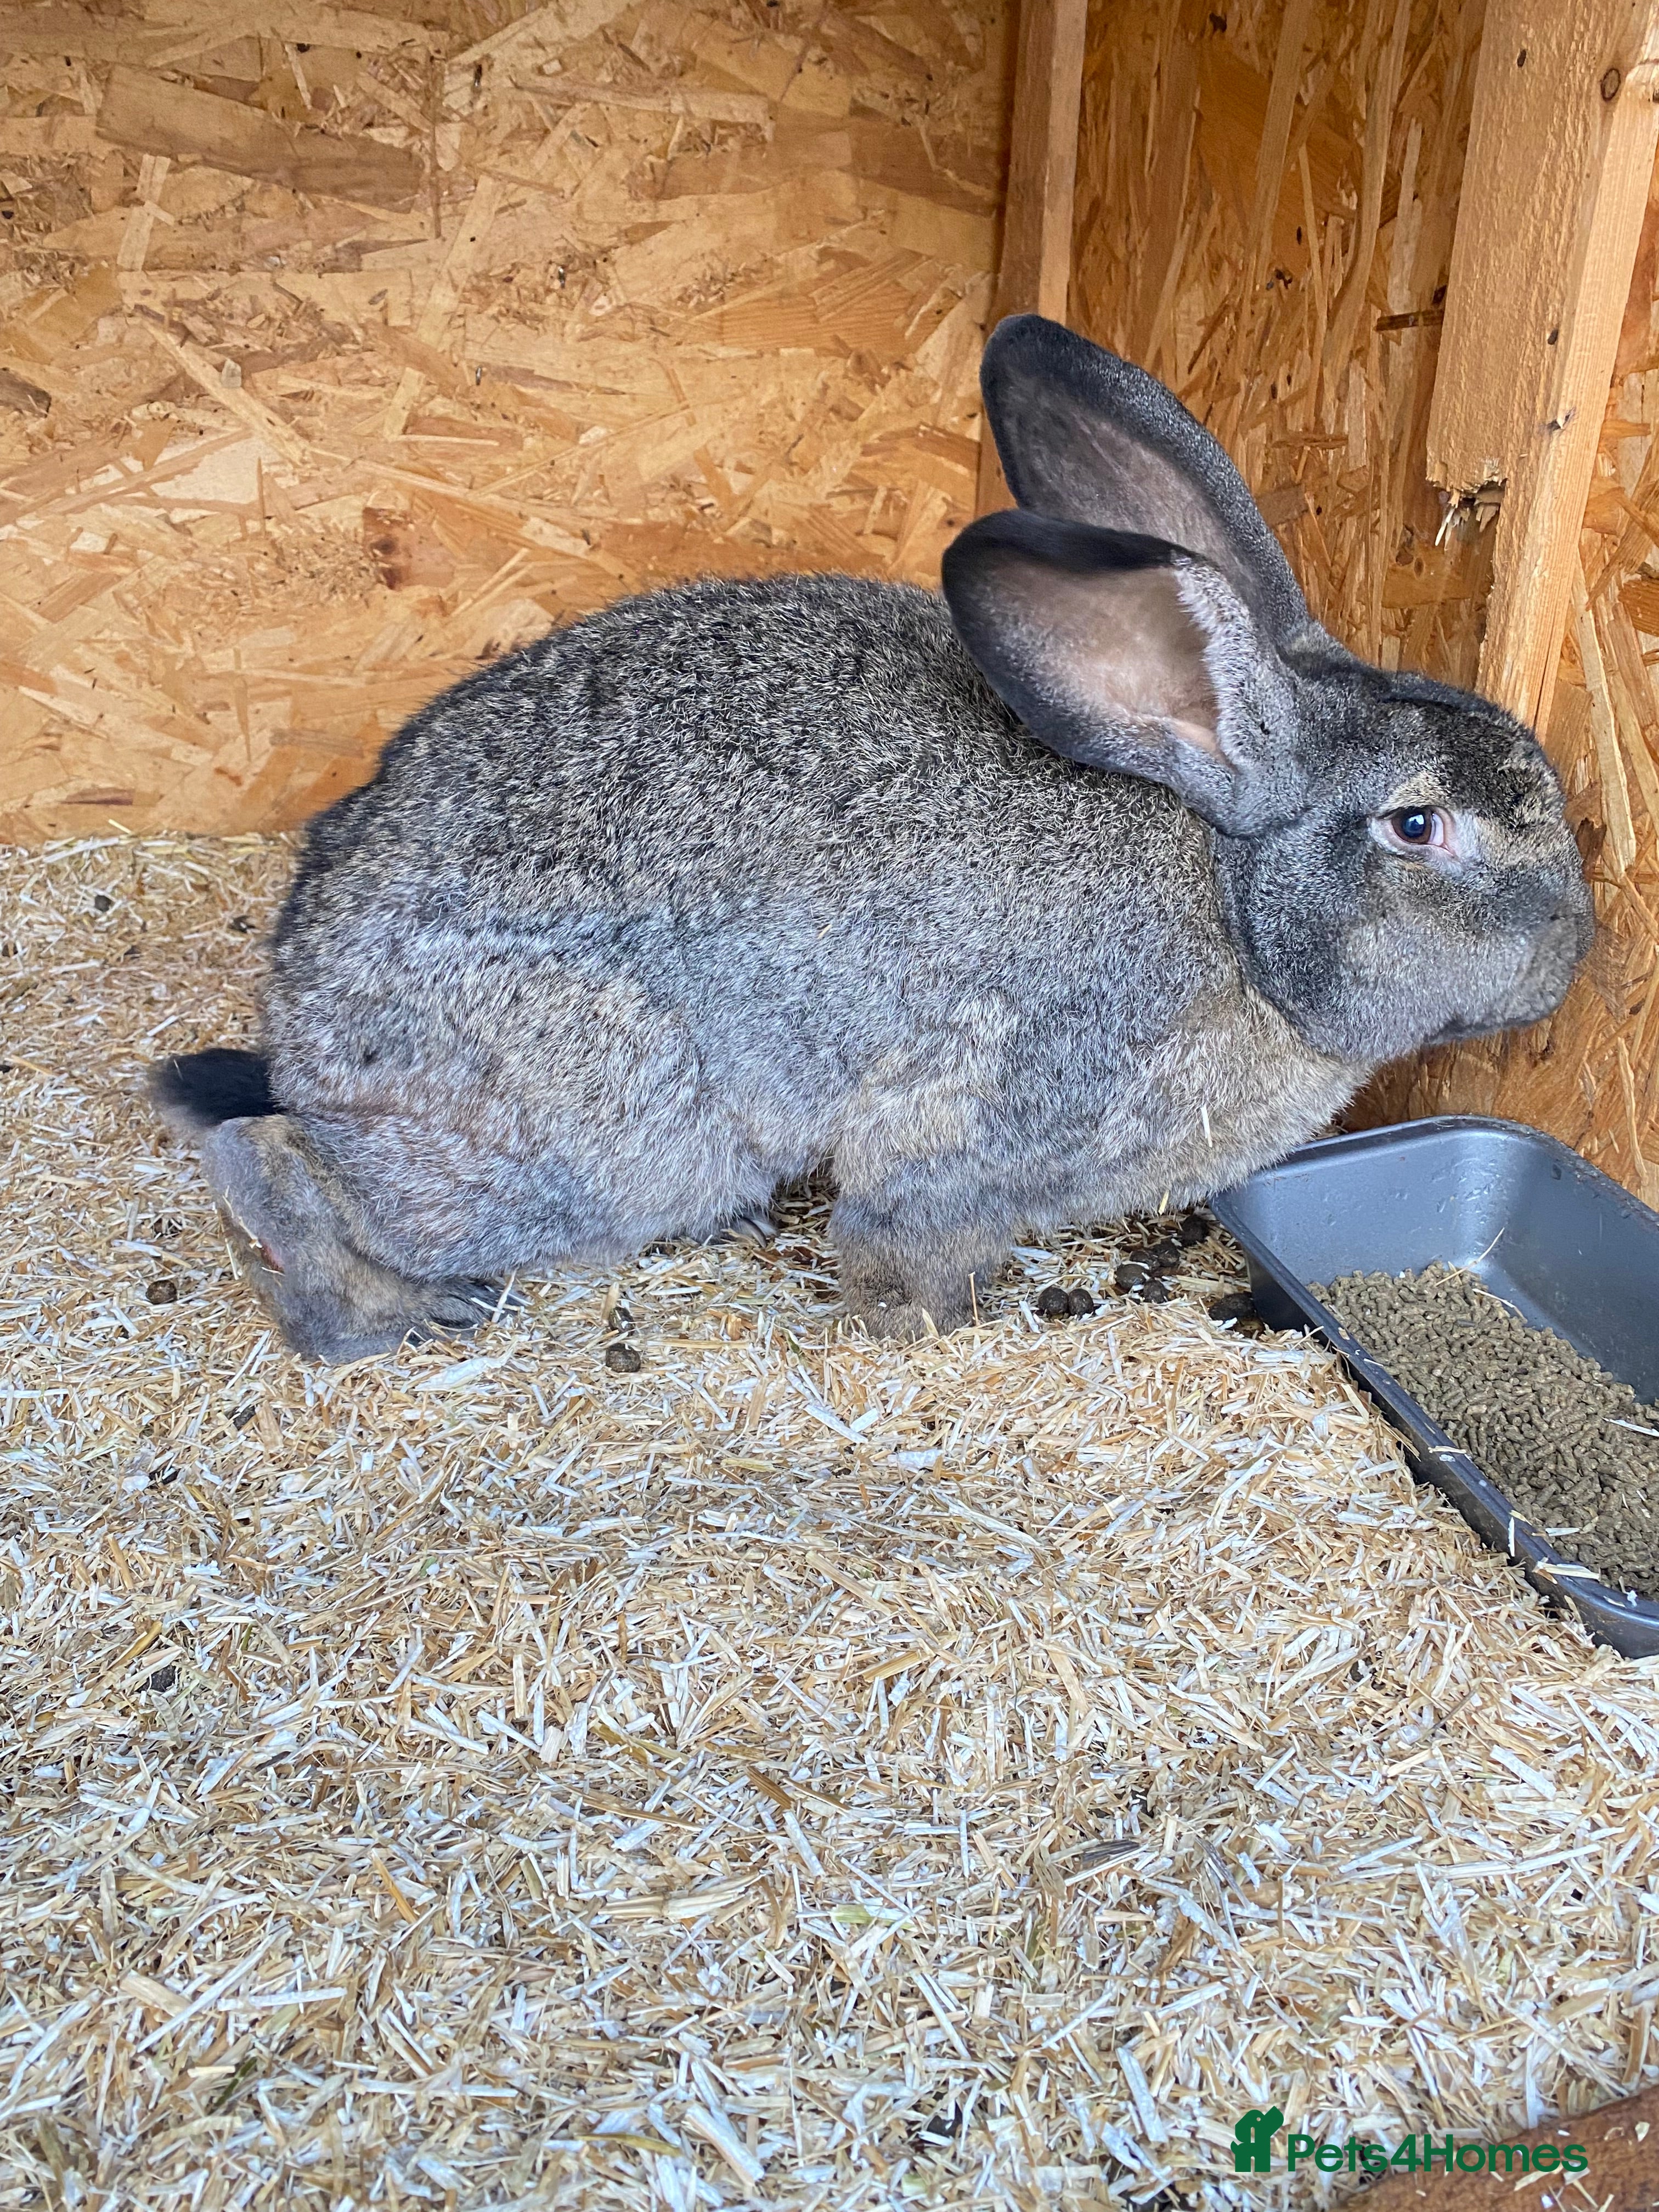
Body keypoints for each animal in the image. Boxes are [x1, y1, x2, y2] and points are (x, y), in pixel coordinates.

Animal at [148, 314, 1594, 1362]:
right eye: (1418, 825)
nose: (1572, 952)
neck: (1237, 897)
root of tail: (300, 998)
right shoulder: (970, 1130)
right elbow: (906, 1239)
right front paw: (933, 1331)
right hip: (598, 1140)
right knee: (272, 1161)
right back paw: (376, 1316)